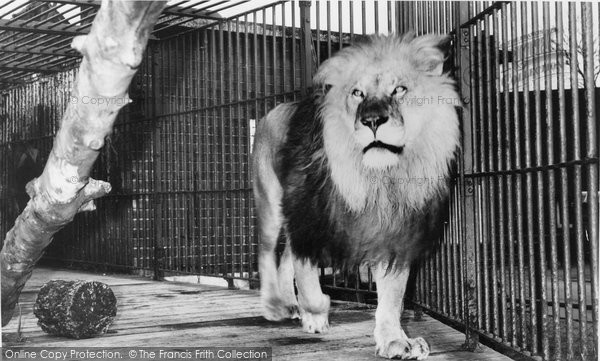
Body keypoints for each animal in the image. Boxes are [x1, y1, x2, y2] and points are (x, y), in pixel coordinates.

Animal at [251, 33, 462, 358]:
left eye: (399, 89)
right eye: (357, 93)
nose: (373, 120)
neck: (374, 177)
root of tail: (275, 109)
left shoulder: (390, 233)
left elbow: (392, 296)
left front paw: (395, 340)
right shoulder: (309, 221)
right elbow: (308, 279)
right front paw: (317, 312)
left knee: (285, 257)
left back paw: (291, 305)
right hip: (272, 204)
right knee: (266, 252)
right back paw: (276, 305)